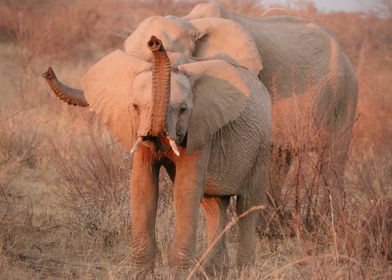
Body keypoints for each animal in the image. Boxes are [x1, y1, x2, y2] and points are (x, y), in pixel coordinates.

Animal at [41, 34, 272, 276]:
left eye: (183, 110)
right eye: (134, 106)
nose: (154, 41)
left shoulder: (200, 127)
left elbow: (186, 188)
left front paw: (179, 274)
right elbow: (142, 185)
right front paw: (139, 274)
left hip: (262, 146)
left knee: (247, 205)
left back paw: (242, 271)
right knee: (213, 206)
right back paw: (211, 271)